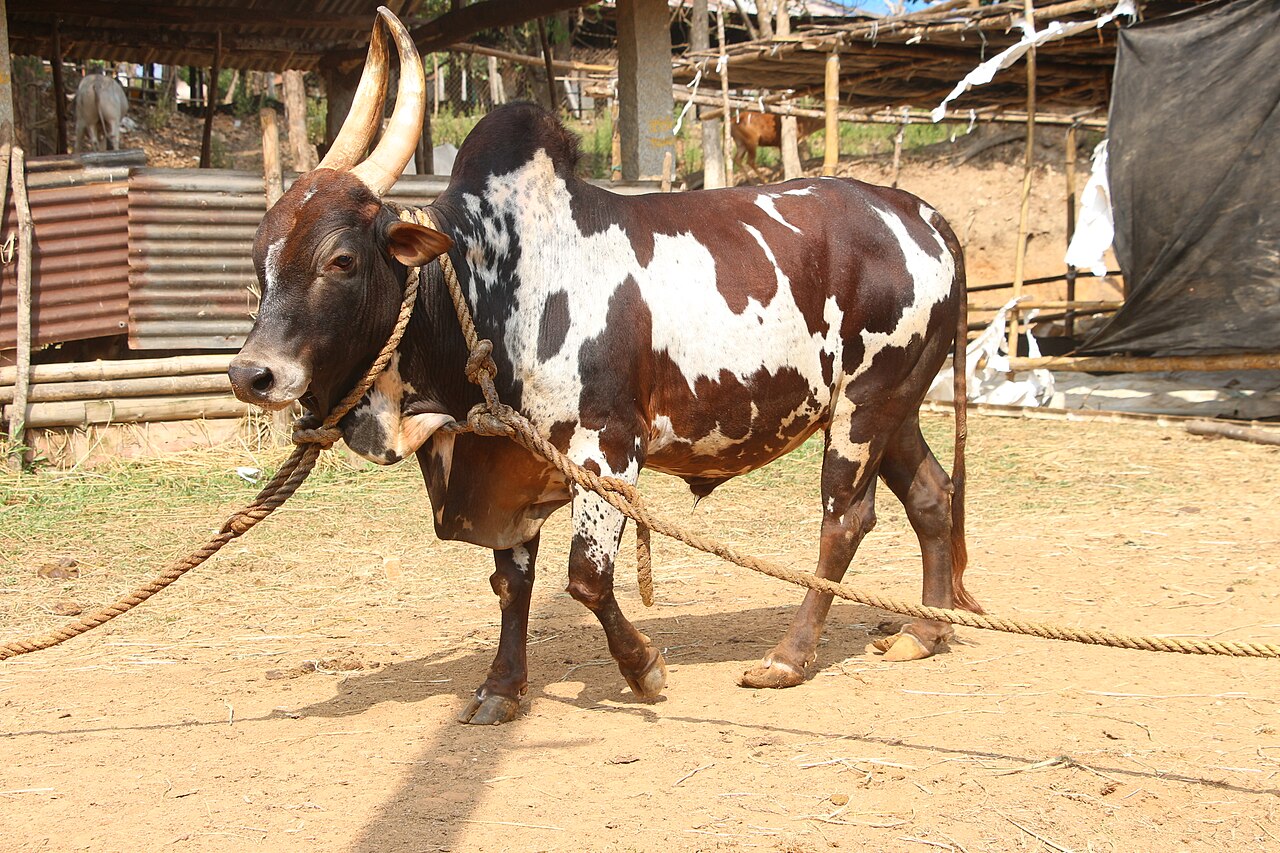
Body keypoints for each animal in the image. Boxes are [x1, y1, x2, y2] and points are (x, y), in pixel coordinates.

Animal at [229, 8, 980, 726]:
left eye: (340, 259)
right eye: (260, 256)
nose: (251, 375)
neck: (488, 282)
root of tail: (921, 212)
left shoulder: (607, 449)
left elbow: (585, 579)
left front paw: (644, 668)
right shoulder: (512, 458)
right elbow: (513, 584)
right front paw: (500, 688)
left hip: (865, 404)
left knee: (844, 520)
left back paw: (789, 656)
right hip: (894, 404)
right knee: (932, 495)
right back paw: (923, 631)